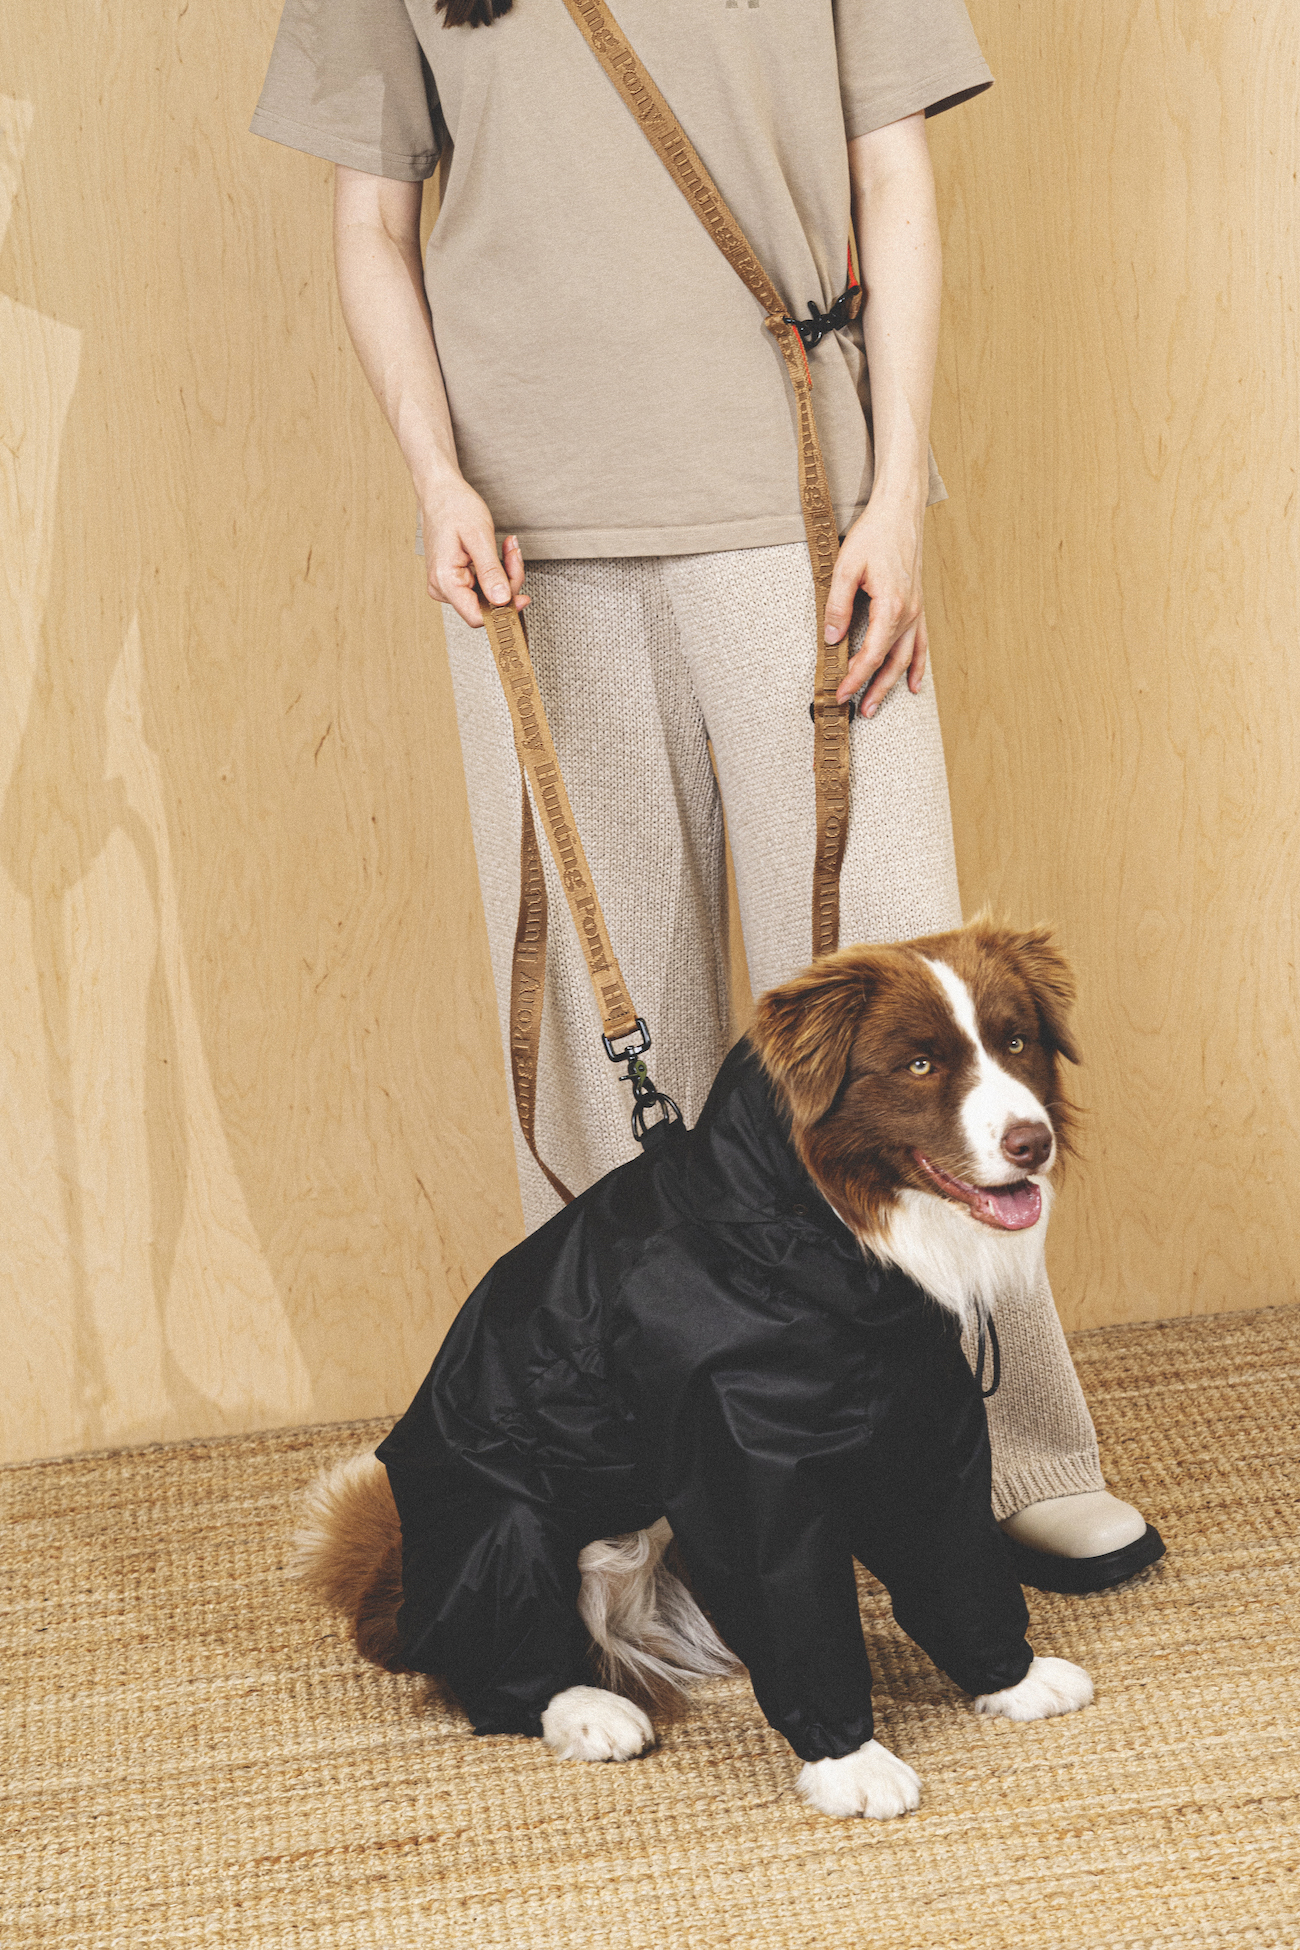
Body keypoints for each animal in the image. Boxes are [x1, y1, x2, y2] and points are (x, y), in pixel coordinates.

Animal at [295, 920, 1093, 1819]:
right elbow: (787, 1595)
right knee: (495, 1670)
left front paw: (1013, 1680)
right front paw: (849, 1762)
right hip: (501, 1523)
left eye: (1016, 1042)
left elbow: (952, 1553)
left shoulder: (922, 1413)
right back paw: (588, 1710)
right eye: (919, 1064)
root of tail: (394, 1596)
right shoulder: (739, 1462)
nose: (1033, 1142)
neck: (804, 1234)